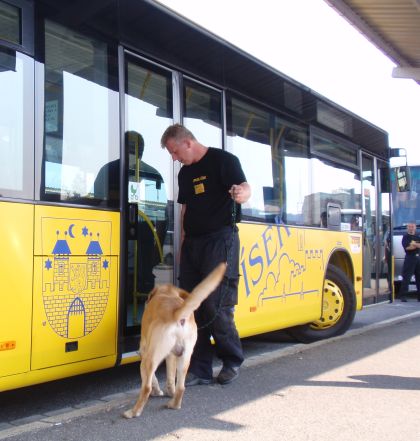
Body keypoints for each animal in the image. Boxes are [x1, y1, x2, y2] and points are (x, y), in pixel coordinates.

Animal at [123, 262, 226, 418]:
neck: (167, 293)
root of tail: (177, 313)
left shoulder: (144, 351)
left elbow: (153, 378)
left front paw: (157, 391)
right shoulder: (171, 355)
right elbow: (171, 377)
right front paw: (168, 391)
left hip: (149, 359)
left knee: (146, 387)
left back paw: (134, 412)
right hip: (185, 357)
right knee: (181, 387)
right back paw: (174, 404)